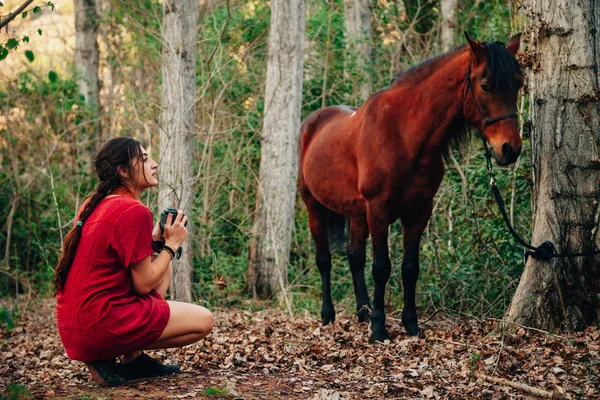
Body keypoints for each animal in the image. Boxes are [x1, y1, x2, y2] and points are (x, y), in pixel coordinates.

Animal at [298, 32, 524, 342]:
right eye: (486, 85)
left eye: (518, 84)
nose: (510, 149)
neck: (403, 135)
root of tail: (312, 122)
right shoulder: (379, 211)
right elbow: (381, 268)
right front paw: (379, 328)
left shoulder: (419, 211)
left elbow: (409, 268)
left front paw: (410, 324)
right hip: (315, 208)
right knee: (324, 260)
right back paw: (328, 316)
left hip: (356, 214)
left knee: (355, 258)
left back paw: (362, 312)